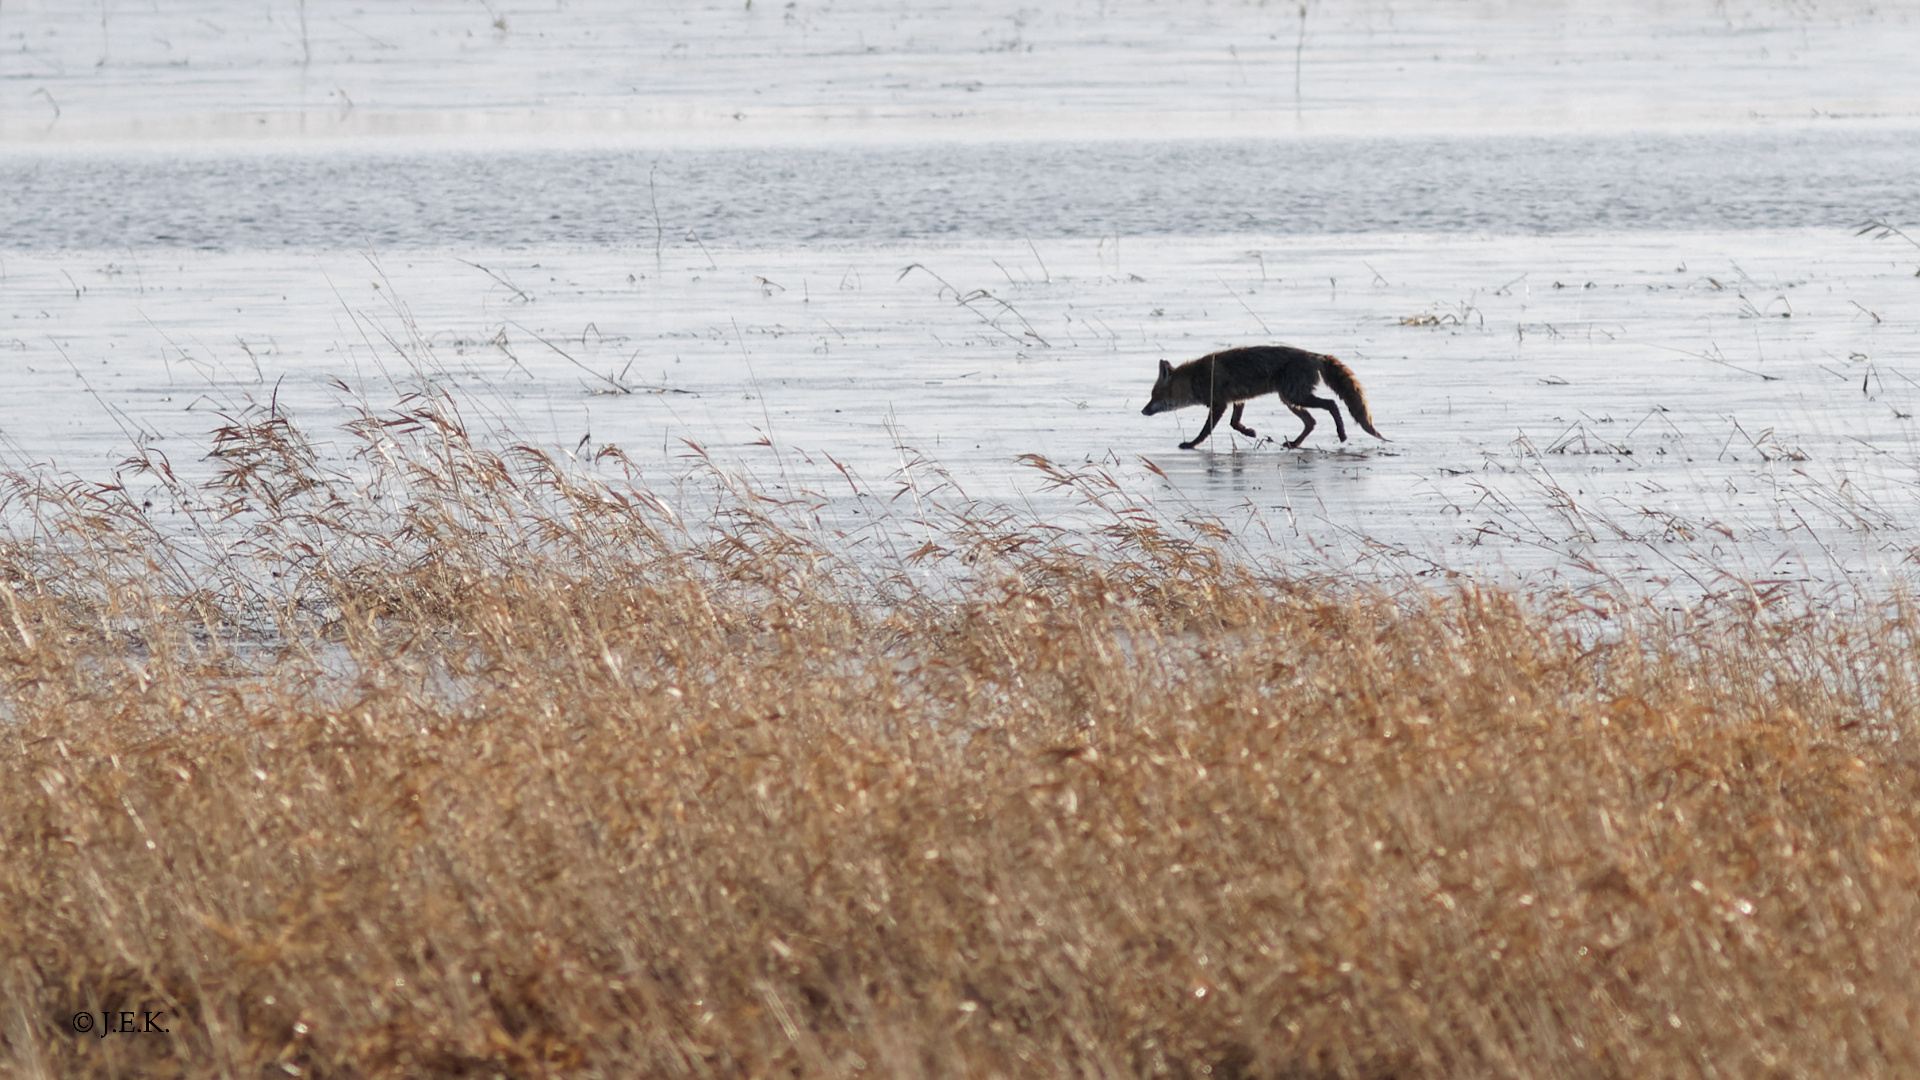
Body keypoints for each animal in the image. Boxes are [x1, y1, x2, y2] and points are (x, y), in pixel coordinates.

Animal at [1128, 342, 1390, 447]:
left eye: (1153, 397)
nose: (1142, 410)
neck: (1195, 378)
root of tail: (1315, 355)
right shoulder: (1237, 400)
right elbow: (1234, 424)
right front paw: (1250, 432)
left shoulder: (1219, 403)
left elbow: (1205, 430)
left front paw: (1191, 444)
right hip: (1290, 400)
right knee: (1312, 421)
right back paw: (1294, 444)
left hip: (1295, 397)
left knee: (1332, 404)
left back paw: (1342, 434)